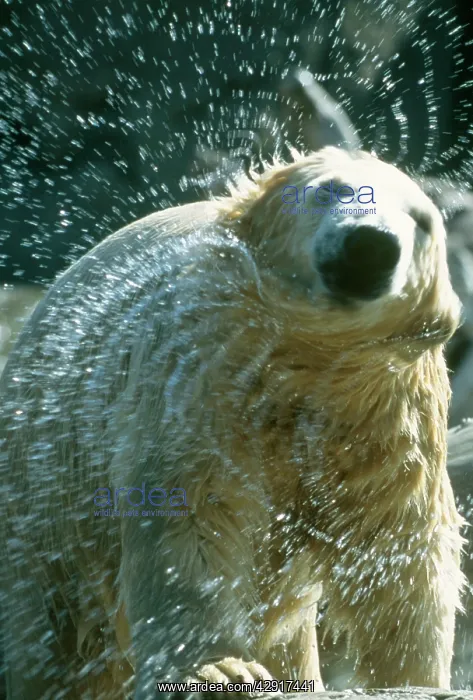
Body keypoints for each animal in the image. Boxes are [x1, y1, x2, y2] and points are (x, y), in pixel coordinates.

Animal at [0, 145, 465, 699]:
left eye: (421, 221)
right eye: (331, 189)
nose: (371, 244)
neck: (307, 360)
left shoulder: (386, 406)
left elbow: (399, 540)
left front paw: (414, 676)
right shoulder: (203, 367)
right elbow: (192, 513)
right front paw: (217, 669)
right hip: (45, 505)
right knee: (50, 635)